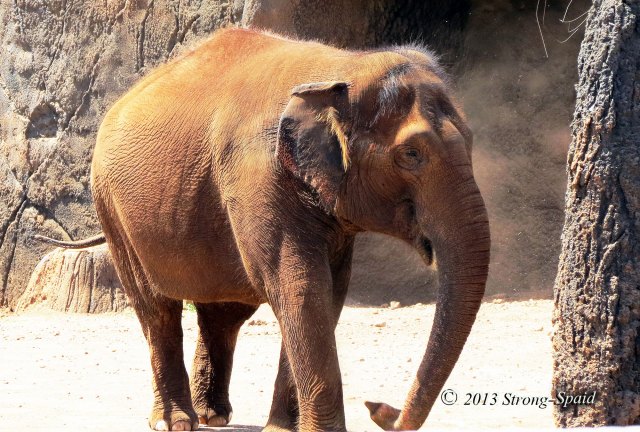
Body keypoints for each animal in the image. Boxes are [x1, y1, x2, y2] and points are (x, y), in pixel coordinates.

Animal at [39, 28, 490, 431]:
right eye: (411, 154)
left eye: (471, 141)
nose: (378, 407)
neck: (343, 65)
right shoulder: (258, 175)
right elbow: (299, 286)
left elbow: (328, 290)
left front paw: (284, 430)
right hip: (111, 207)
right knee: (157, 309)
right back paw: (176, 422)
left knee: (223, 312)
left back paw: (214, 417)